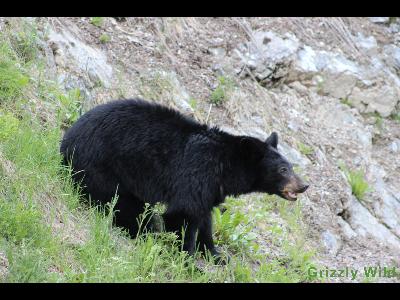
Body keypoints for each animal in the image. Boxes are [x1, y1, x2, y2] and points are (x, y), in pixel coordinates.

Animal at [60, 98, 310, 260]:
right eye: (282, 170)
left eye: (291, 166)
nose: (304, 185)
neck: (225, 167)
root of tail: (65, 143)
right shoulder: (196, 173)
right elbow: (184, 213)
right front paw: (187, 259)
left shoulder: (211, 188)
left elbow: (205, 219)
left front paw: (215, 254)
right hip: (106, 170)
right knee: (127, 209)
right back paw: (147, 233)